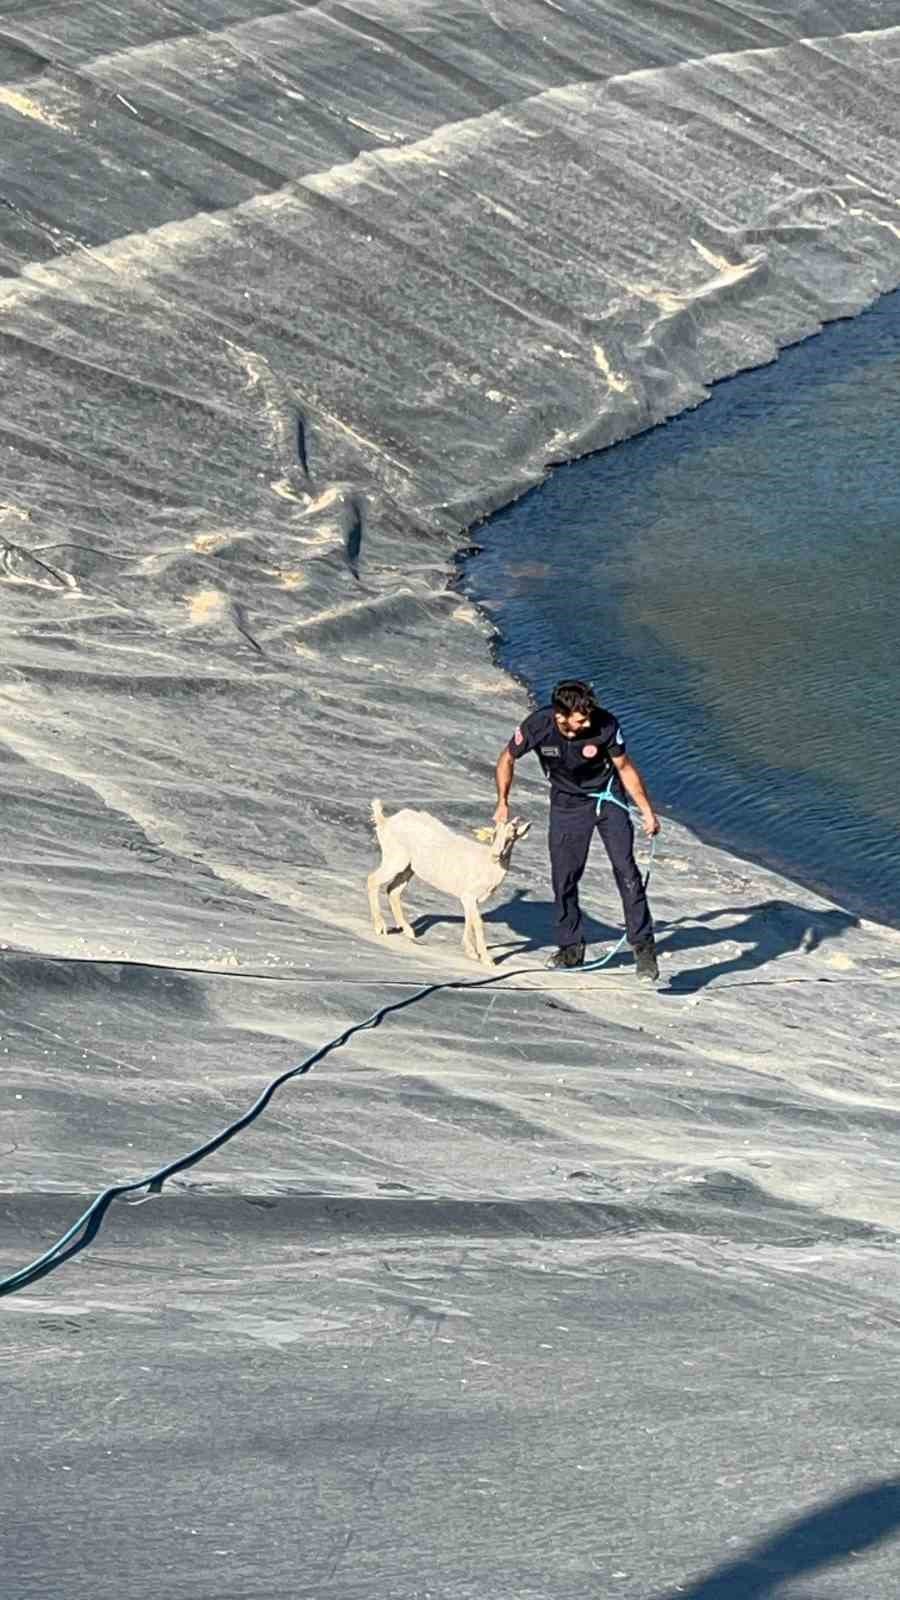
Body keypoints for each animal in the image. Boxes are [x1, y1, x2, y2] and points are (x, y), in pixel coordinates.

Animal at [368, 796, 528, 960]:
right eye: (494, 835)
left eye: (511, 838)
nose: (495, 855)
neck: (486, 863)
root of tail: (386, 821)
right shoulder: (469, 896)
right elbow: (477, 922)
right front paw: (486, 959)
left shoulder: (469, 899)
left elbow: (469, 920)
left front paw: (471, 951)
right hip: (395, 859)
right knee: (373, 880)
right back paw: (380, 927)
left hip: (408, 868)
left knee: (393, 891)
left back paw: (409, 931)